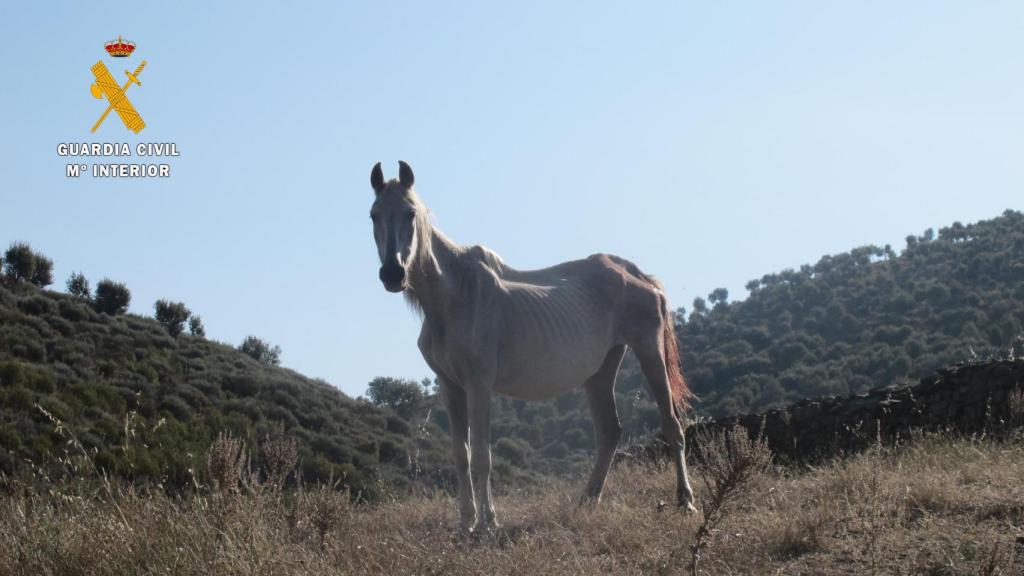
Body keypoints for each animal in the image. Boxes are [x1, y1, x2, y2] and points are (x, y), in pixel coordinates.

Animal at [368, 159, 696, 528]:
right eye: (374, 215)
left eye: (410, 213)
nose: (392, 273)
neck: (454, 296)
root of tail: (634, 273)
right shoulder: (449, 385)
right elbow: (461, 455)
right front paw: (466, 521)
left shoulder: (478, 384)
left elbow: (481, 455)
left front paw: (488, 521)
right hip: (601, 369)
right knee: (609, 432)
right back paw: (586, 502)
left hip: (649, 351)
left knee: (671, 424)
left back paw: (685, 500)